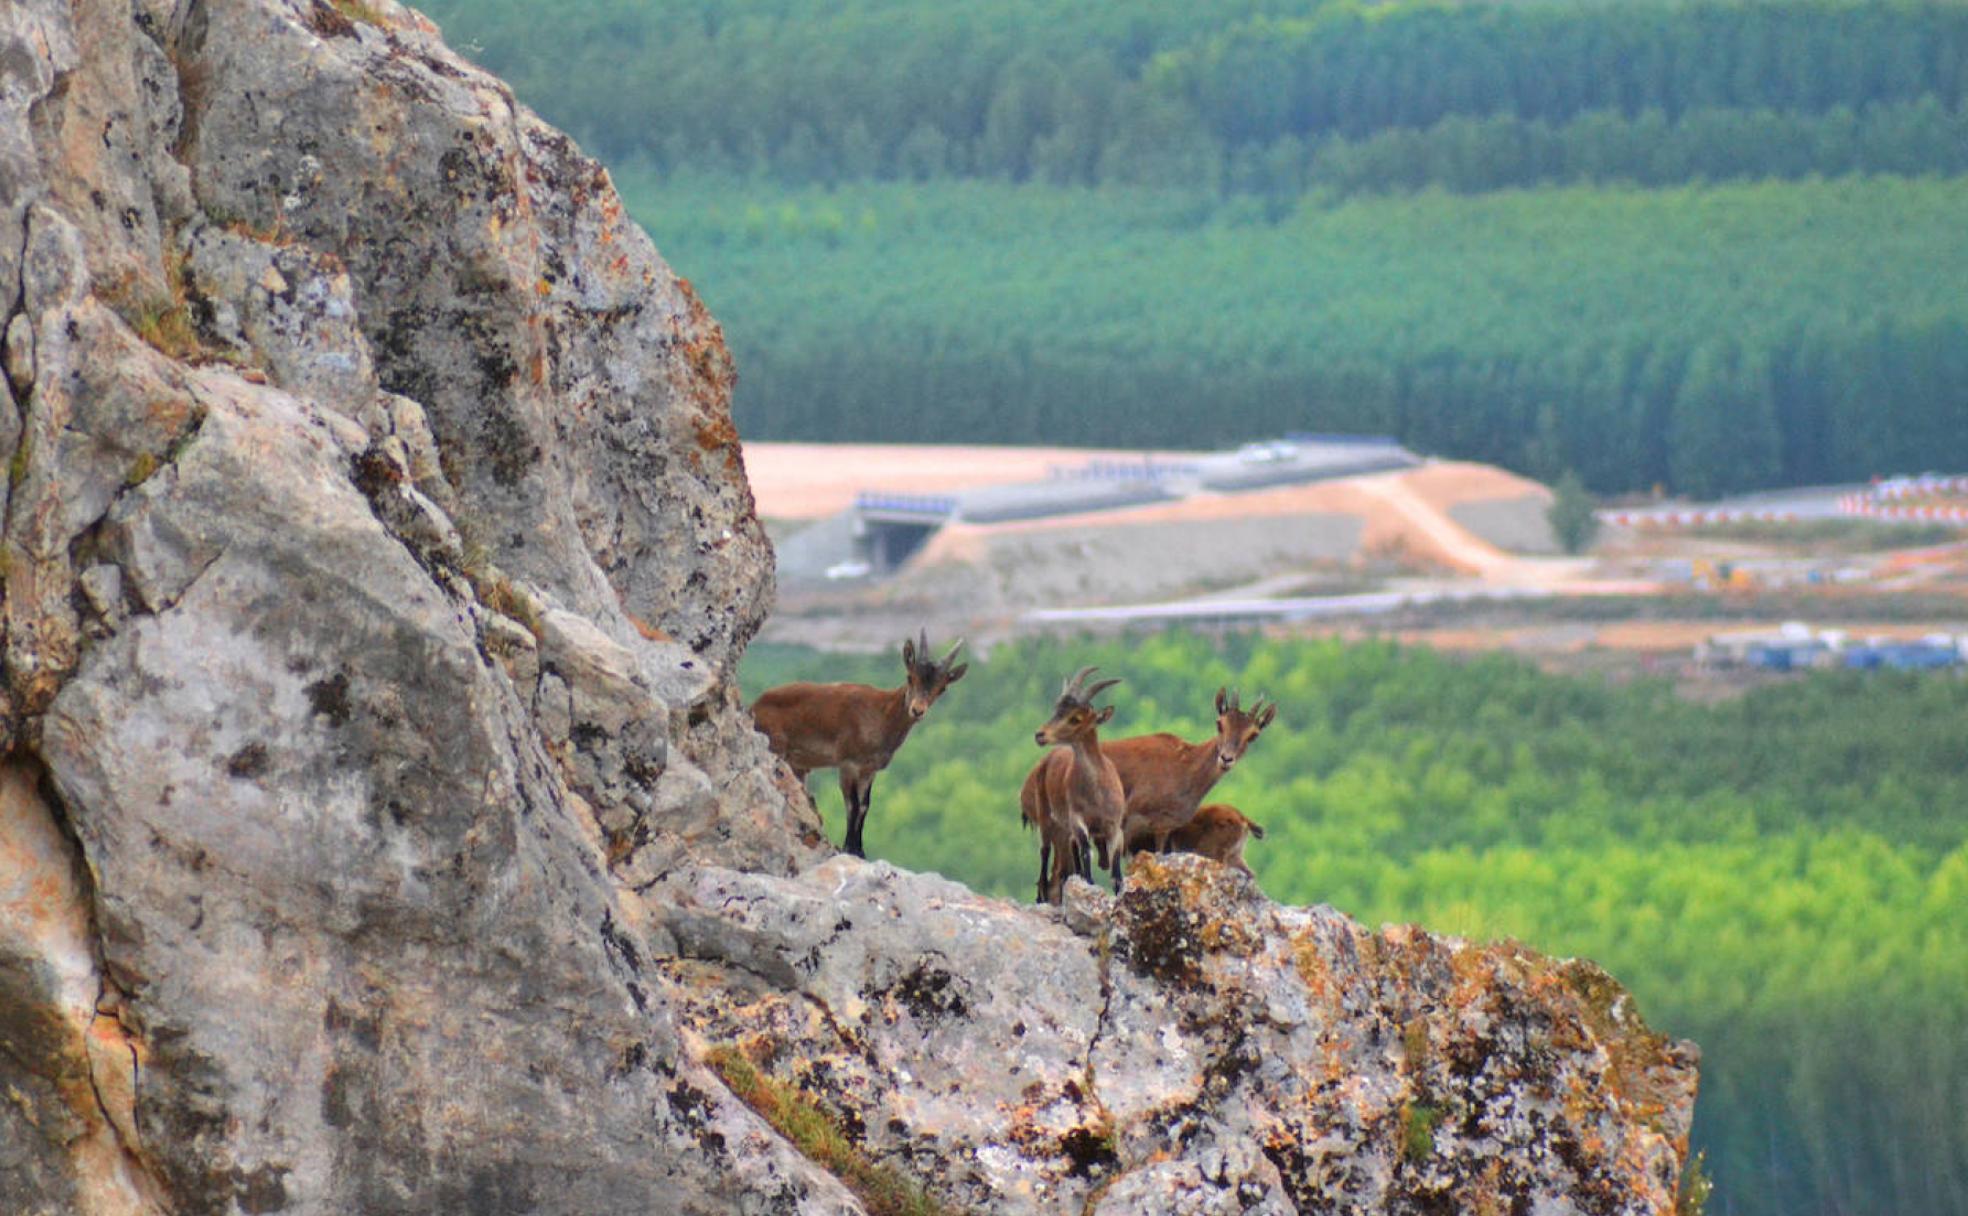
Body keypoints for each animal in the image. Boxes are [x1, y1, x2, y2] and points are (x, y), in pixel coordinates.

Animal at [751, 630, 966, 858]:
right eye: (910, 677)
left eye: (942, 688)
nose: (917, 710)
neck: (880, 715)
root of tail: (754, 706)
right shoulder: (848, 763)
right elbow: (851, 804)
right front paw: (849, 848)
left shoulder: (868, 770)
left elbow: (864, 805)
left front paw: (860, 850)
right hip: (776, 747)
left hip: (799, 766)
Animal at [1018, 666, 1126, 904]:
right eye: (1056, 710)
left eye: (1076, 718)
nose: (1040, 735)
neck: (1096, 793)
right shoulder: (1078, 820)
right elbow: (1087, 854)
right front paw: (1090, 888)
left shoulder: (1114, 826)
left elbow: (1116, 873)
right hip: (1046, 819)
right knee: (1045, 857)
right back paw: (1041, 898)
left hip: (1065, 831)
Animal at [1108, 687, 1275, 860]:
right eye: (1219, 724)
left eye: (1253, 735)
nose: (1226, 759)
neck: (1184, 767)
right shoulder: (1132, 821)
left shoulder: (1162, 827)